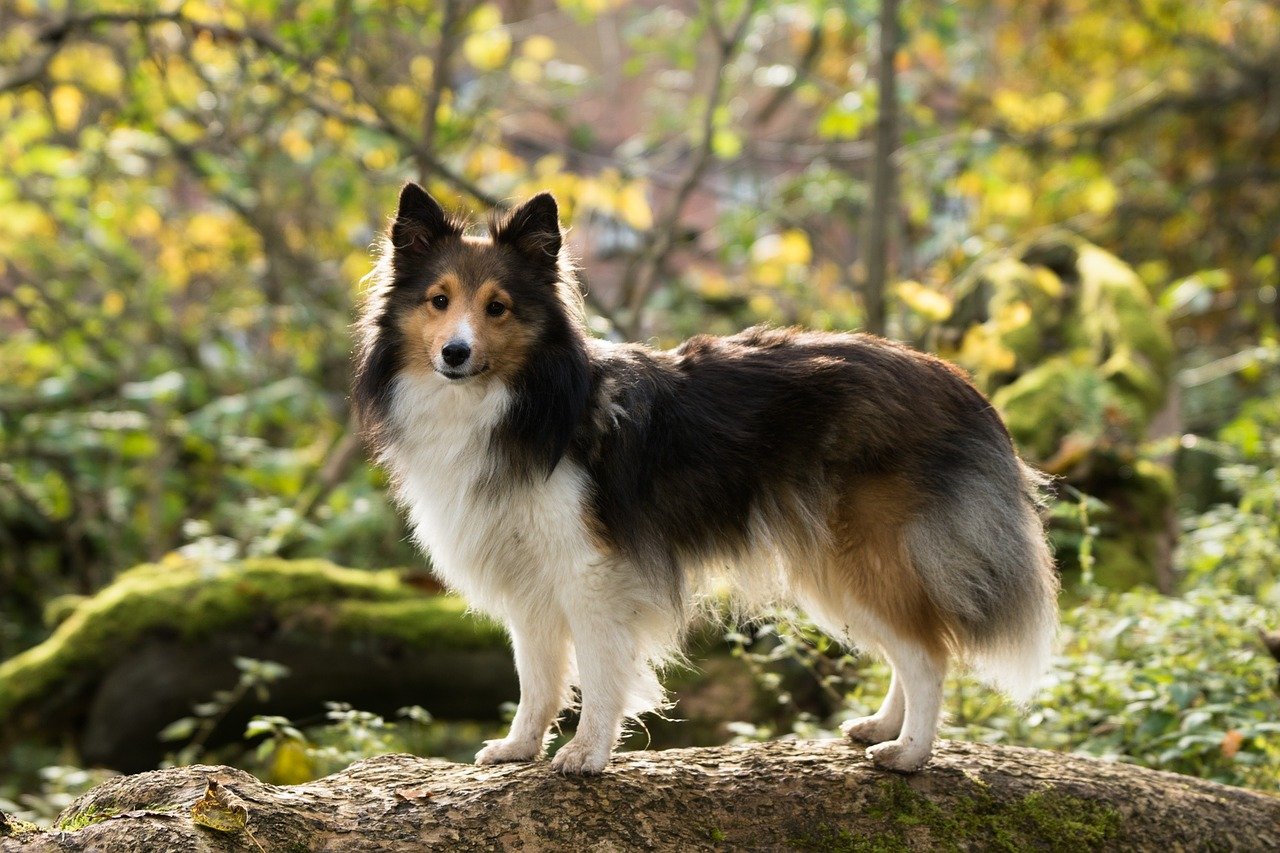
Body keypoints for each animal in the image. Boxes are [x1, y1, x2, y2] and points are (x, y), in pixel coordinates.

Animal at [353, 183, 1059, 773]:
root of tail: (958, 383)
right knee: (908, 646)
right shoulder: (529, 578)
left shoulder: (590, 571)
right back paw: (882, 728)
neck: (522, 401)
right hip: (836, 564)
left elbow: (599, 672)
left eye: (497, 308)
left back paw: (908, 754)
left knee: (929, 652)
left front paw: (586, 754)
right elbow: (538, 677)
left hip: (866, 552)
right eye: (439, 301)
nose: (456, 354)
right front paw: (519, 748)